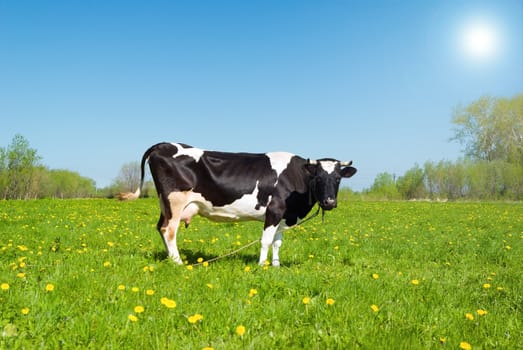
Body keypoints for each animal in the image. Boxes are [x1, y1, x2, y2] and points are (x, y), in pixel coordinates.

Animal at [123, 142, 356, 266]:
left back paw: (170, 259)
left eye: (337, 178)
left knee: (160, 228)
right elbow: (266, 241)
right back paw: (178, 262)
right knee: (169, 230)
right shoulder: (274, 210)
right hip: (175, 201)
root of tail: (164, 144)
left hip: (165, 203)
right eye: (318, 177)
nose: (329, 202)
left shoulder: (284, 215)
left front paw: (276, 265)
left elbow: (277, 242)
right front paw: (262, 266)